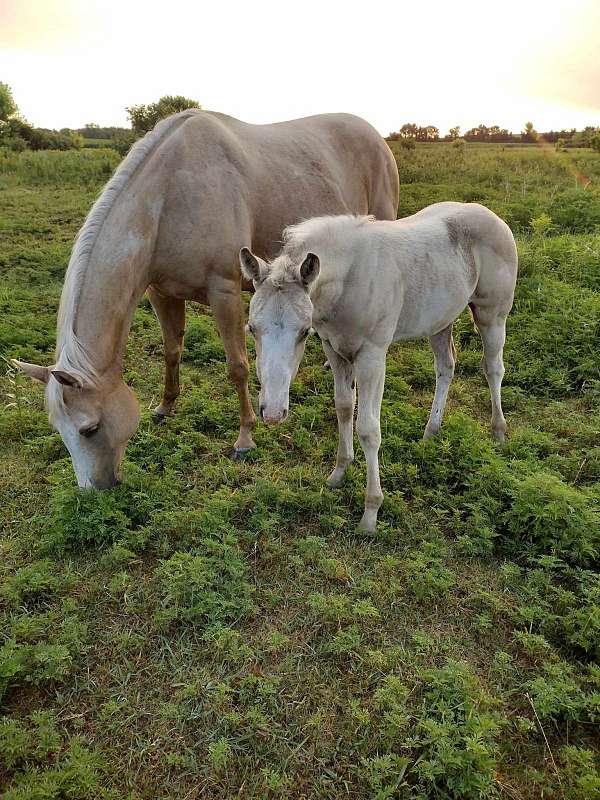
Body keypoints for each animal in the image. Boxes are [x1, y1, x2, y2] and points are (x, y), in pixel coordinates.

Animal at [12, 110, 398, 490]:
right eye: (58, 429)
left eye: (89, 429)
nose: (96, 490)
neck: (168, 200)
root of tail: (375, 135)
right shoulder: (161, 293)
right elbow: (172, 351)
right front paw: (165, 407)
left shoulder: (224, 291)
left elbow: (237, 366)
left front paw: (244, 439)